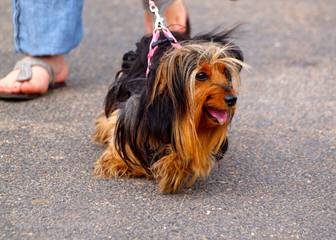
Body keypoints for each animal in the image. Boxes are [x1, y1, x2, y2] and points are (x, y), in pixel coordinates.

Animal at [93, 28, 245, 193]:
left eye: (225, 72)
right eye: (201, 75)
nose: (232, 99)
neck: (171, 112)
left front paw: (173, 169)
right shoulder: (133, 110)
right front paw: (116, 162)